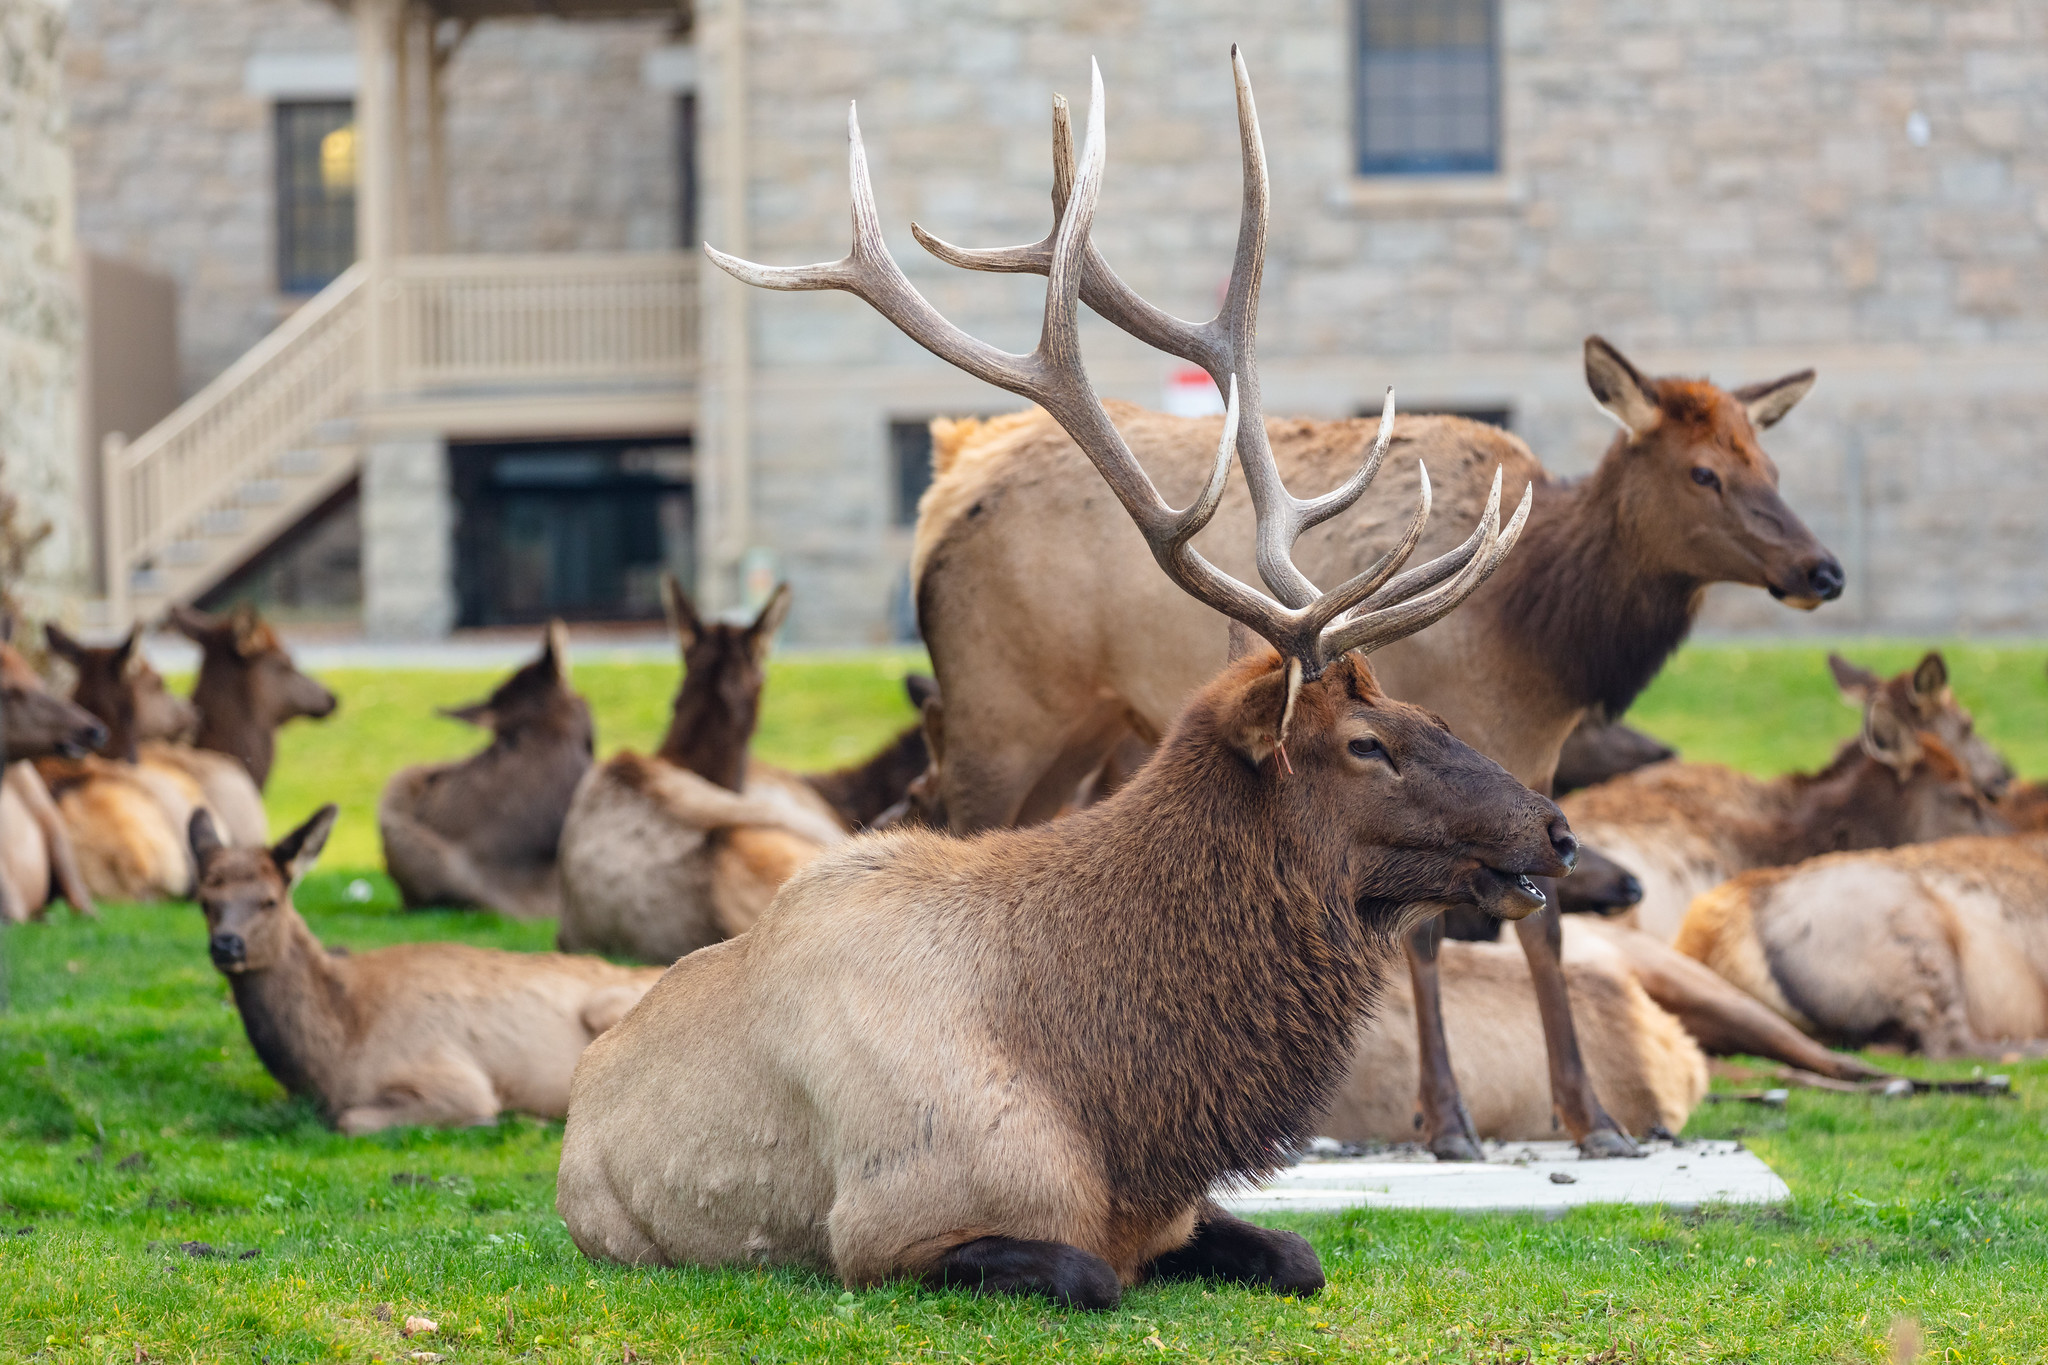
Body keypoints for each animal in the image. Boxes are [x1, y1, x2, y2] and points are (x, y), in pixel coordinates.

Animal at [1, 626, 102, 925]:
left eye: (39, 681)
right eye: (7, 691)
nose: (94, 729)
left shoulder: (12, 907)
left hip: (56, 828)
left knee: (83, 902)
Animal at [193, 802, 663, 1129]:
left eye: (270, 900)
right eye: (204, 900)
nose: (226, 945)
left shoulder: (455, 1078)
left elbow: (350, 1119)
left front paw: (494, 1119)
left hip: (607, 1004)